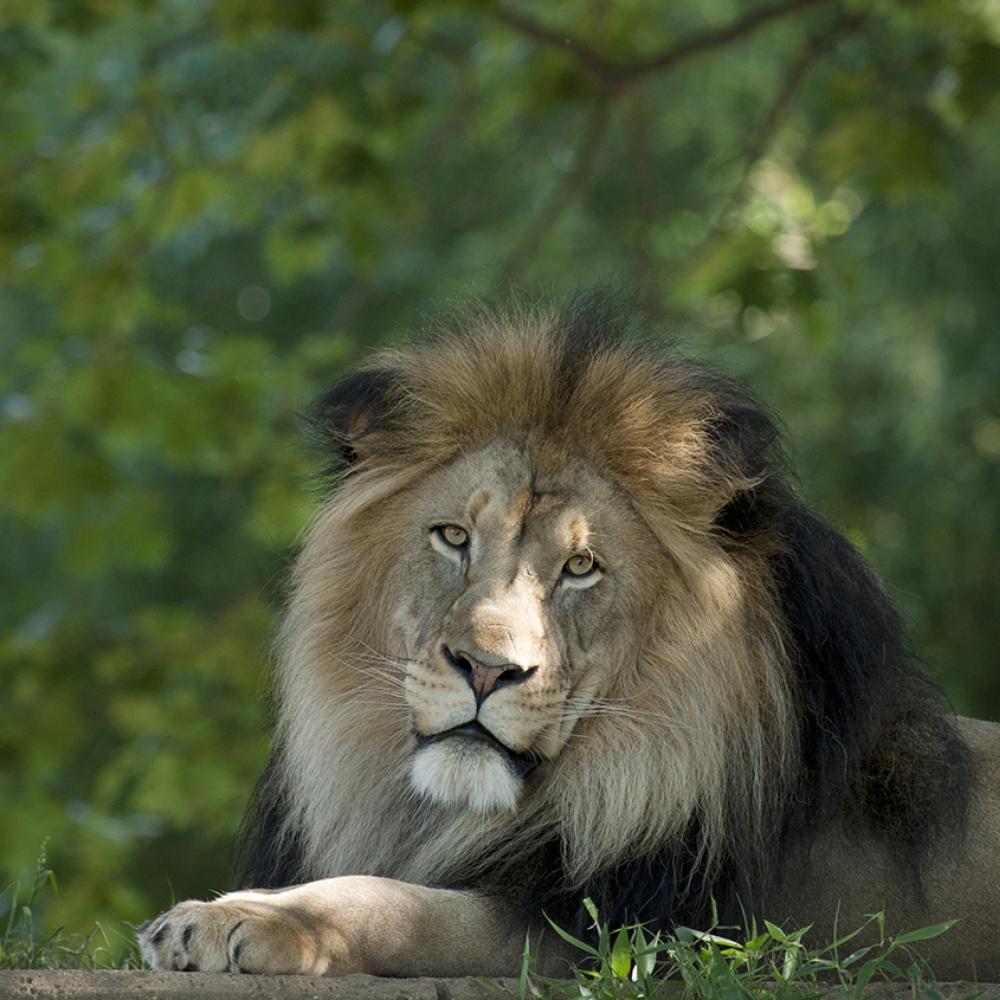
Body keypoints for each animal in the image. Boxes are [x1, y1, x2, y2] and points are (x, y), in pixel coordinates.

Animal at [139, 300, 1000, 980]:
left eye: (581, 567)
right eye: (453, 537)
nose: (485, 670)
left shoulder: (632, 938)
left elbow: (398, 905)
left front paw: (237, 919)